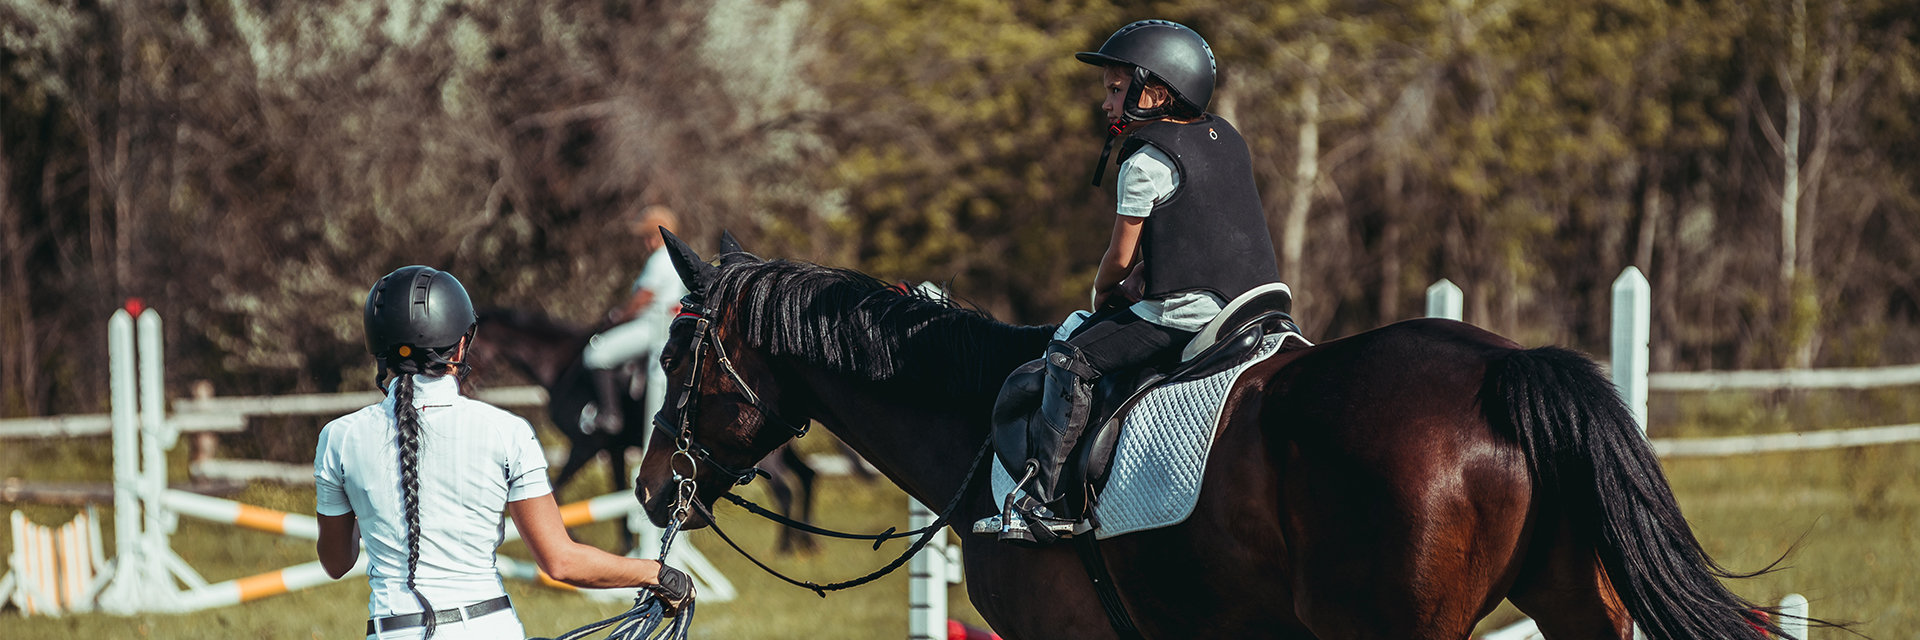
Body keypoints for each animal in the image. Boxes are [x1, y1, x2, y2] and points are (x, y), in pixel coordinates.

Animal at [464, 307, 856, 549]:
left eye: (472, 346)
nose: (466, 386)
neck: (561, 364)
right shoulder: (613, 449)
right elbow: (615, 490)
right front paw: (622, 544)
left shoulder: (588, 444)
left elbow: (557, 491)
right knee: (806, 476)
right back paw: (806, 543)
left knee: (787, 487)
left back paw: (787, 547)